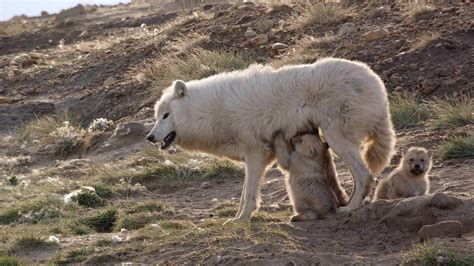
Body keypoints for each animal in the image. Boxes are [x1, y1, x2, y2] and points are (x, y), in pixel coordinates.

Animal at [146, 57, 394, 222]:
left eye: (166, 115)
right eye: (157, 116)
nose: (150, 137)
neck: (208, 112)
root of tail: (375, 81)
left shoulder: (256, 154)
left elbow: (249, 194)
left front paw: (241, 220)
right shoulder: (256, 157)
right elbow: (245, 193)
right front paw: (238, 217)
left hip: (335, 138)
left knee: (364, 176)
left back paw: (349, 208)